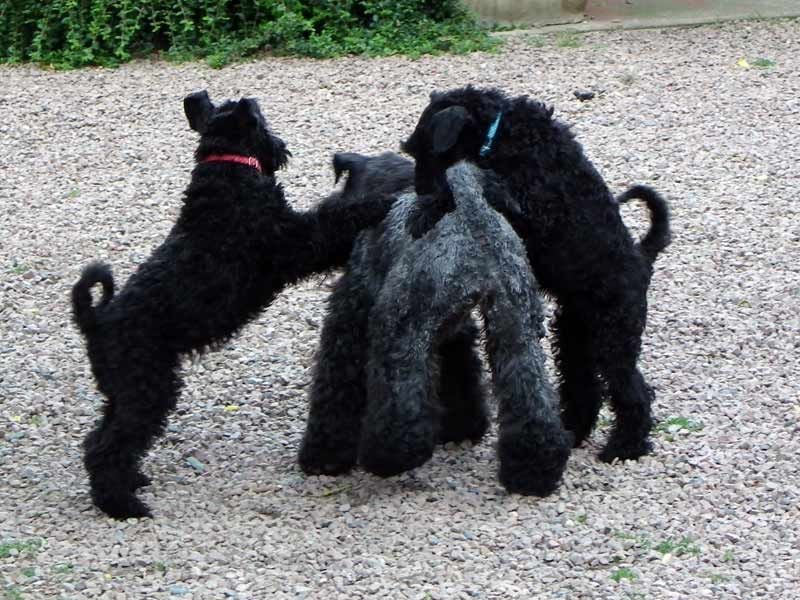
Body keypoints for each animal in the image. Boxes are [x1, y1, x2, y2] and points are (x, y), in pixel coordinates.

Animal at [398, 85, 668, 460]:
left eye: (421, 150)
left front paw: (426, 210)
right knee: (584, 387)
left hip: (612, 336)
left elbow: (476, 187)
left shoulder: (533, 209)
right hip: (574, 336)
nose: (420, 189)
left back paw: (625, 447)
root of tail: (643, 260)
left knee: (632, 391)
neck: (503, 135)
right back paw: (573, 431)